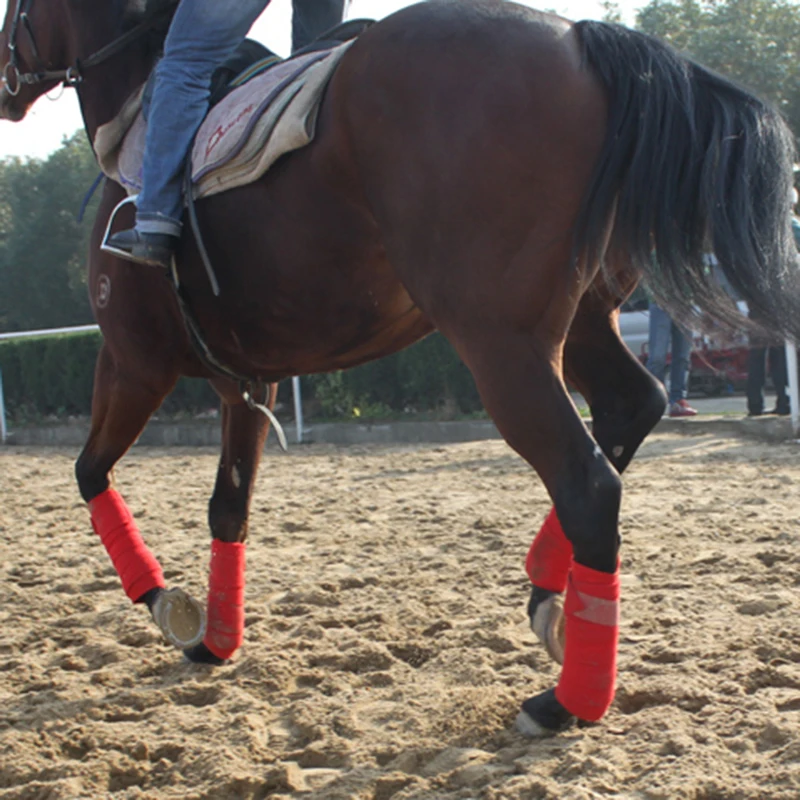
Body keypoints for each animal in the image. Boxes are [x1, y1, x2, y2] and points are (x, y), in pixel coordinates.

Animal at [1, 0, 800, 736]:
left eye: (16, 9)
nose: (9, 89)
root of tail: (576, 36)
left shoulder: (133, 361)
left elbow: (89, 472)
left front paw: (167, 603)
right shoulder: (245, 378)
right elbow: (228, 505)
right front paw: (217, 638)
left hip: (498, 338)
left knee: (588, 481)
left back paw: (567, 701)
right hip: (582, 320)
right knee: (633, 405)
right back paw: (550, 596)